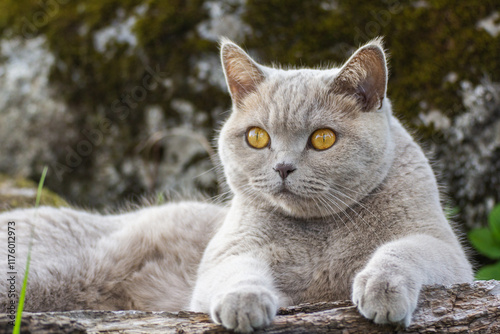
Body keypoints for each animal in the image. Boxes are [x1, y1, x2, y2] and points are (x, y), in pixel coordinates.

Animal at [0, 37, 470, 332]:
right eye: (257, 137)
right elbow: (236, 270)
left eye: (323, 138)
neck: (321, 236)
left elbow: (404, 249)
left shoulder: (445, 249)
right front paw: (245, 303)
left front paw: (381, 289)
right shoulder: (228, 252)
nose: (282, 167)